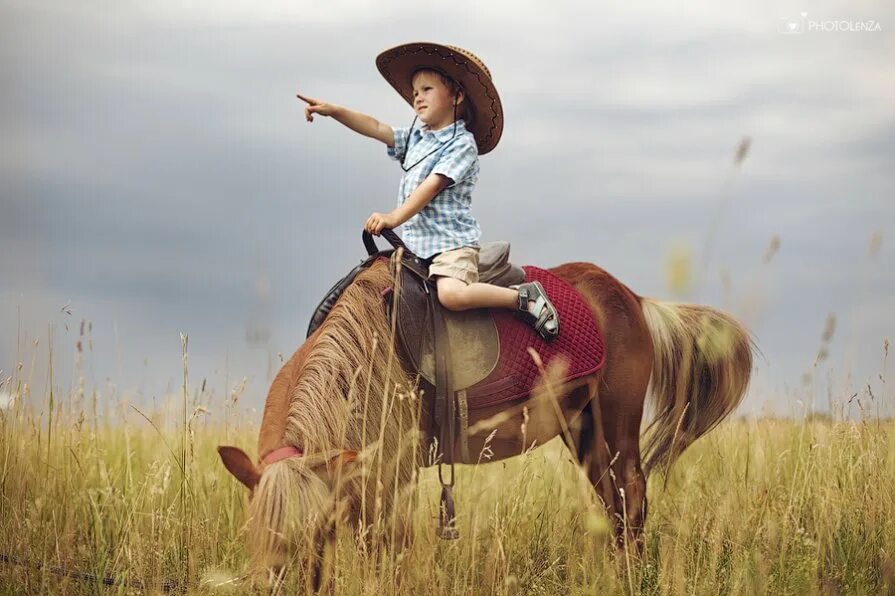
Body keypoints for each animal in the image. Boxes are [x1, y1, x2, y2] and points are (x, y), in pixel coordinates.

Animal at [219, 253, 756, 584]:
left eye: (303, 536)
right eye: (254, 536)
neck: (365, 359)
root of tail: (634, 299)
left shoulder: (389, 483)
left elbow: (384, 558)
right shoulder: (356, 488)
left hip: (616, 424)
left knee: (632, 496)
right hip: (583, 432)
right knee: (615, 502)